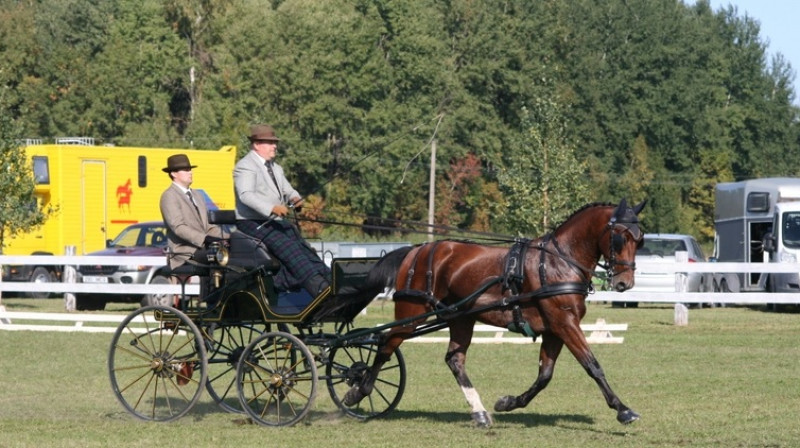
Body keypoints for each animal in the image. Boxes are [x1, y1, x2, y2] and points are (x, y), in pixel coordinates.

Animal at [338, 199, 644, 428]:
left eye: (639, 240)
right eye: (620, 238)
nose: (624, 284)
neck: (558, 262)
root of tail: (417, 249)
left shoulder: (555, 329)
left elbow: (544, 375)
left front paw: (508, 402)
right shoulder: (564, 324)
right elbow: (592, 365)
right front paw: (623, 410)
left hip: (461, 318)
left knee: (454, 360)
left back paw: (480, 413)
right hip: (411, 314)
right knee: (385, 345)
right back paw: (357, 391)